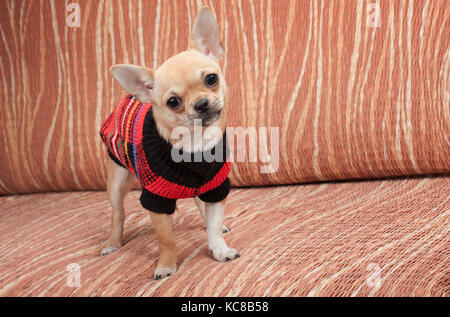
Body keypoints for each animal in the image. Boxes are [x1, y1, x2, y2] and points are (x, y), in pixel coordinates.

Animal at [98, 6, 239, 278]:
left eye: (212, 79)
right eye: (173, 102)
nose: (202, 104)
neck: (195, 144)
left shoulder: (216, 186)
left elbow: (213, 226)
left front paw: (219, 249)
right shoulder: (156, 201)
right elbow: (166, 240)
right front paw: (166, 265)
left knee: (199, 201)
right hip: (117, 182)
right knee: (118, 214)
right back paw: (112, 242)